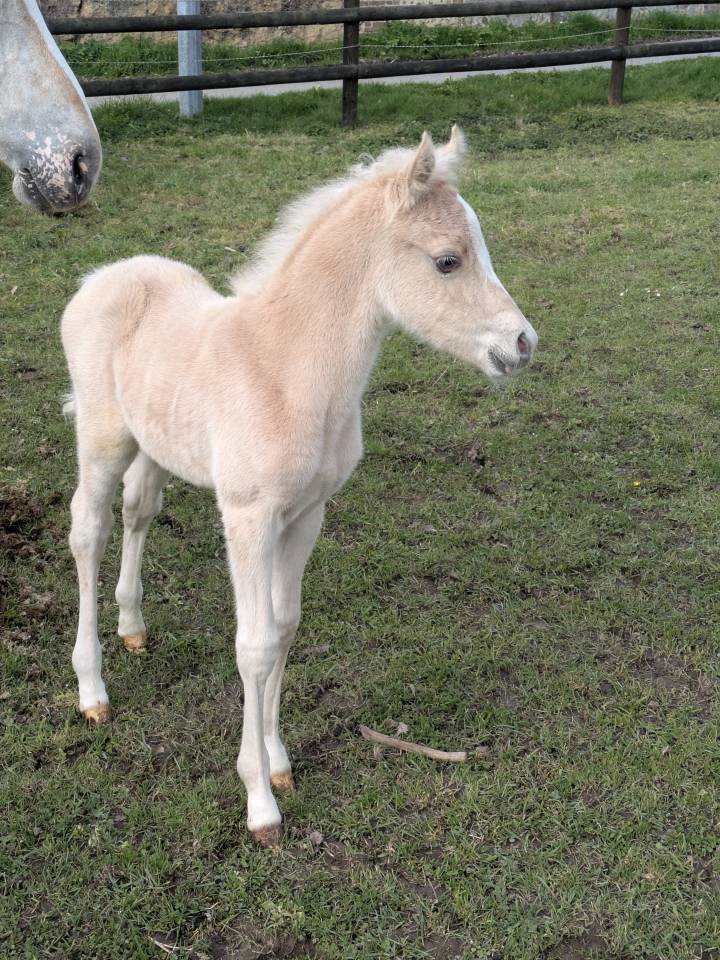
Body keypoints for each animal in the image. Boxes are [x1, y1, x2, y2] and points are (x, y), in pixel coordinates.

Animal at [61, 128, 538, 846]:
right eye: (448, 261)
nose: (523, 342)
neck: (283, 368)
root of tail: (103, 276)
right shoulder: (249, 517)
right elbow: (253, 645)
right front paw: (260, 802)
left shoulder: (308, 513)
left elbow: (284, 628)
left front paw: (279, 763)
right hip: (103, 437)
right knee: (88, 531)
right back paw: (93, 692)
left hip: (156, 443)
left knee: (139, 510)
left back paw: (133, 628)